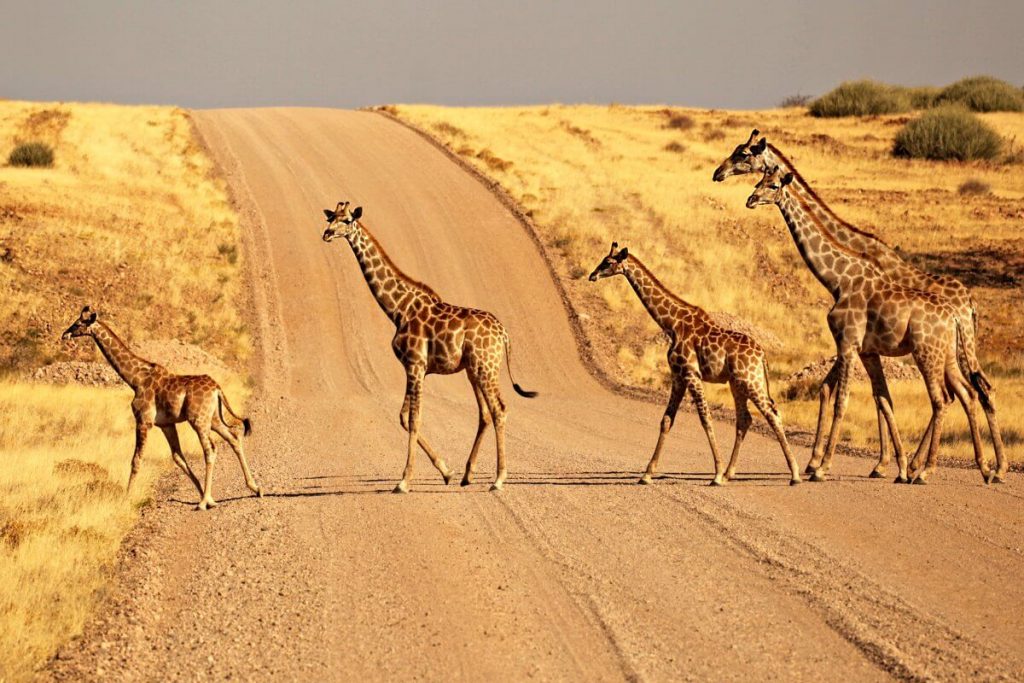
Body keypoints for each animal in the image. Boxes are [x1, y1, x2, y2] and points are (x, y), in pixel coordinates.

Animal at [61, 306, 263, 509]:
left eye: (77, 324)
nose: (64, 335)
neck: (135, 379)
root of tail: (217, 389)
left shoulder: (143, 421)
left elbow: (136, 460)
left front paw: (127, 497)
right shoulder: (166, 424)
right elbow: (178, 457)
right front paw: (203, 493)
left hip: (199, 420)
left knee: (210, 449)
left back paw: (205, 502)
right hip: (212, 418)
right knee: (234, 437)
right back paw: (254, 489)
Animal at [321, 201, 537, 493]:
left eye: (346, 220)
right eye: (331, 217)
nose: (326, 234)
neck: (398, 309)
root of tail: (504, 334)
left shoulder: (415, 364)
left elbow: (414, 419)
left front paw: (403, 481)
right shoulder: (414, 368)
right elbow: (403, 417)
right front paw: (446, 471)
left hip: (486, 368)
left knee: (499, 409)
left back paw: (499, 479)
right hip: (473, 370)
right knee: (485, 414)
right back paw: (467, 475)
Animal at [589, 243, 802, 486]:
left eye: (608, 262)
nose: (592, 275)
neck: (671, 324)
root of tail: (762, 355)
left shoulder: (691, 374)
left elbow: (705, 418)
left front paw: (716, 473)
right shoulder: (678, 376)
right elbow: (666, 420)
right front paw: (647, 474)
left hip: (750, 381)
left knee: (772, 414)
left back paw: (794, 474)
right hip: (737, 383)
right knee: (745, 419)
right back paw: (730, 473)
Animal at [713, 130, 1006, 480]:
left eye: (744, 154)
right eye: (757, 177)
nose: (718, 174)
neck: (841, 275)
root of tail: (968, 304)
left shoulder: (851, 343)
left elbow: (847, 398)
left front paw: (829, 465)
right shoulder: (864, 348)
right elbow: (871, 397)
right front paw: (881, 464)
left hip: (941, 351)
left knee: (959, 394)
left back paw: (950, 468)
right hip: (950, 352)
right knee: (971, 391)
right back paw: (981, 467)